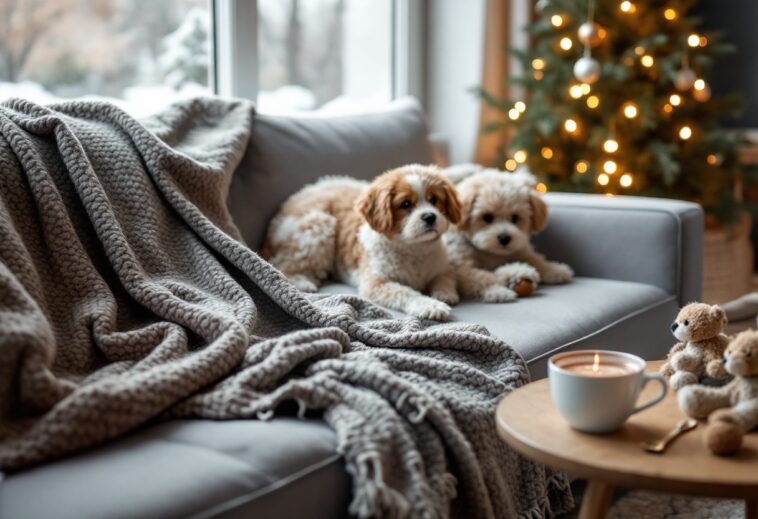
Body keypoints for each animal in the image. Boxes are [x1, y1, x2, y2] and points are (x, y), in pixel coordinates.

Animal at [262, 166, 464, 320]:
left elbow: (445, 279)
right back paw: (303, 282)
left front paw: (444, 294)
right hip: (318, 225)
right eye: (406, 204)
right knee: (281, 264)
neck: (414, 248)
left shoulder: (442, 268)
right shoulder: (376, 283)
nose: (430, 217)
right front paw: (430, 305)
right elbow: (406, 292)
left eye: (434, 200)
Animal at [442, 169, 572, 302]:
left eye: (514, 218)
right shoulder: (462, 267)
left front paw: (555, 269)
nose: (504, 238)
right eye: (487, 217)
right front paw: (499, 290)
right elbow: (482, 277)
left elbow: (536, 259)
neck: (491, 253)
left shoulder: (521, 250)